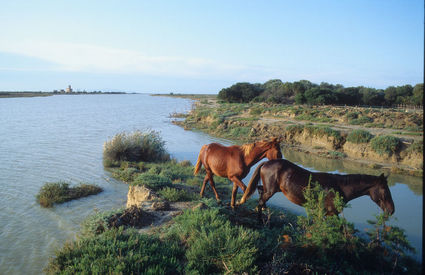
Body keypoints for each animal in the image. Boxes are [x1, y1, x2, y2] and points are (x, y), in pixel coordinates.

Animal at [238, 160, 394, 218]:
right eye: (385, 190)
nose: (391, 210)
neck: (340, 187)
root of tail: (266, 162)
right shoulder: (329, 213)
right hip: (271, 190)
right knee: (260, 200)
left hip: (272, 189)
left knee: (260, 192)